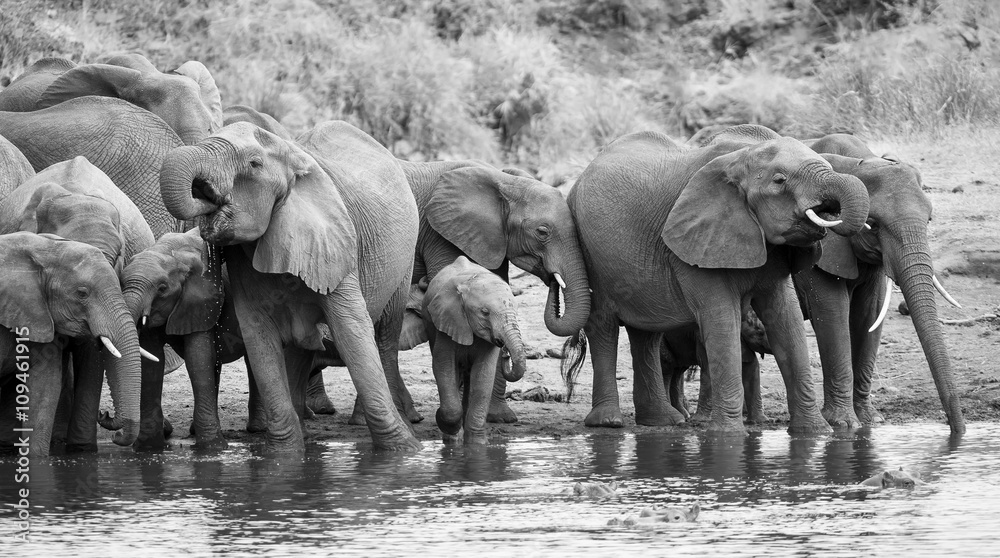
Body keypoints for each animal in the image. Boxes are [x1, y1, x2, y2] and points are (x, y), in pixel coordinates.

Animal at [158, 120, 421, 452]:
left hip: (404, 261)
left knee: (385, 334)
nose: (204, 193)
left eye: (254, 164)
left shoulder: (335, 243)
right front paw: (283, 454)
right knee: (301, 344)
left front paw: (404, 451)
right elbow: (259, 335)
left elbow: (350, 329)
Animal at [422, 256, 527, 444]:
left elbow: (483, 376)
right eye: (484, 312)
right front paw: (445, 423)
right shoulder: (446, 321)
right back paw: (453, 438)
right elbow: (443, 367)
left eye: (516, 309)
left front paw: (476, 445)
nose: (505, 353)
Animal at [566, 127, 870, 434]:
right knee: (604, 326)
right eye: (780, 180)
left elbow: (786, 319)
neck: (741, 158)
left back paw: (662, 421)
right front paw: (728, 437)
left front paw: (816, 433)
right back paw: (608, 422)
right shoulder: (693, 242)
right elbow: (721, 319)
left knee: (645, 335)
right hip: (589, 252)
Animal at [793, 134, 966, 434]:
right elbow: (832, 314)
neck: (854, 162)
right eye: (872, 224)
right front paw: (844, 425)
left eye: (929, 220)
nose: (958, 431)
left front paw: (871, 421)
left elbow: (869, 314)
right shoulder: (815, 248)